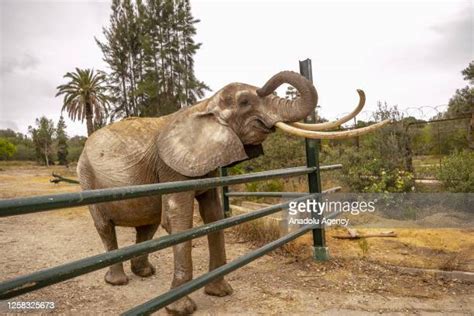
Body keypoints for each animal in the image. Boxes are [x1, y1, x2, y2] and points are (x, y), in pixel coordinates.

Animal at [78, 70, 388, 314]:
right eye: (245, 102)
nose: (359, 89)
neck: (204, 105)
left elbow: (213, 215)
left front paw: (221, 292)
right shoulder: (171, 167)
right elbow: (178, 219)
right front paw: (181, 309)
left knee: (147, 226)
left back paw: (144, 273)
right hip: (86, 177)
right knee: (106, 226)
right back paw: (117, 281)